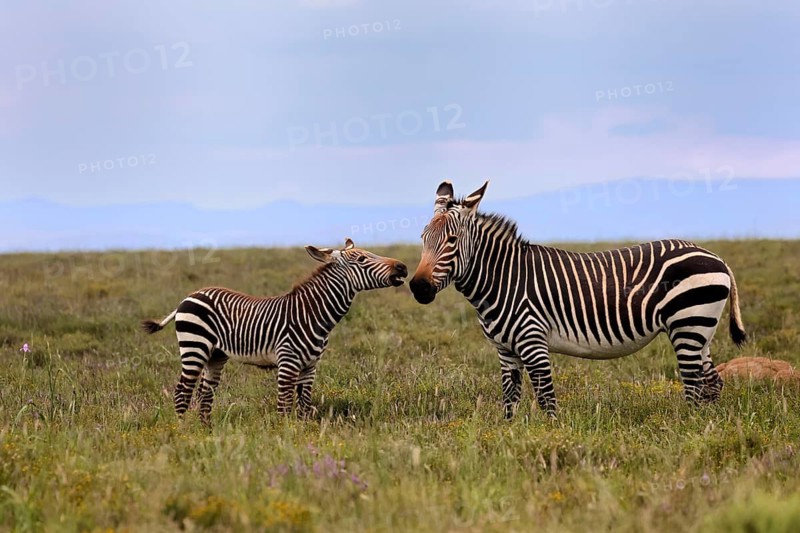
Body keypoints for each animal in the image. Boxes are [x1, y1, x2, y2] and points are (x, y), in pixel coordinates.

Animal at [142, 238, 407, 423]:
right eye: (362, 259)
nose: (403, 267)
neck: (312, 314)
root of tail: (189, 296)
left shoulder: (310, 366)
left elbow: (303, 405)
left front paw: (303, 433)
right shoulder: (287, 363)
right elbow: (284, 404)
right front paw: (284, 435)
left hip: (215, 355)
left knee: (204, 394)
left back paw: (205, 431)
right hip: (194, 347)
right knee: (182, 391)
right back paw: (183, 430)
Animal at [409, 181, 746, 419]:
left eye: (451, 240)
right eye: (423, 239)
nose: (418, 287)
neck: (504, 279)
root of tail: (716, 257)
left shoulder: (533, 342)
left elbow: (546, 399)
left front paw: (550, 437)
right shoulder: (505, 351)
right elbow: (510, 402)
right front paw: (509, 438)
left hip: (688, 324)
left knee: (694, 385)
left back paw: (689, 429)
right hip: (700, 330)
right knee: (712, 382)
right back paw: (709, 427)